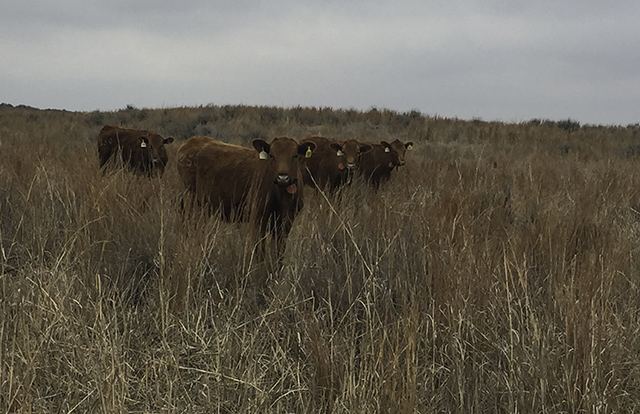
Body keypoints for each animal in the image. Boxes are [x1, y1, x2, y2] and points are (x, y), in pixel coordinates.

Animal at [176, 135, 316, 266]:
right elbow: (259, 250)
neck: (281, 197)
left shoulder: (285, 222)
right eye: (272, 155)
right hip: (191, 203)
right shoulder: (257, 216)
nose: (282, 177)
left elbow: (278, 253)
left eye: (295, 155)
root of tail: (191, 141)